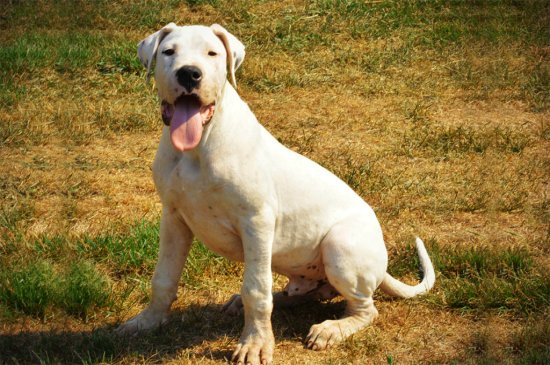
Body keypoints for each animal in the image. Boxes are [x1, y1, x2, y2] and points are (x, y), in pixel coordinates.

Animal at [118, 23, 438, 364]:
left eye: (212, 53)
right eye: (168, 52)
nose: (189, 74)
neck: (200, 144)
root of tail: (383, 265)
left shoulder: (256, 220)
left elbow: (256, 289)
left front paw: (255, 344)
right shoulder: (174, 216)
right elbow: (164, 277)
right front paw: (147, 322)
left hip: (341, 246)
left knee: (365, 309)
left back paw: (331, 329)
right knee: (303, 293)